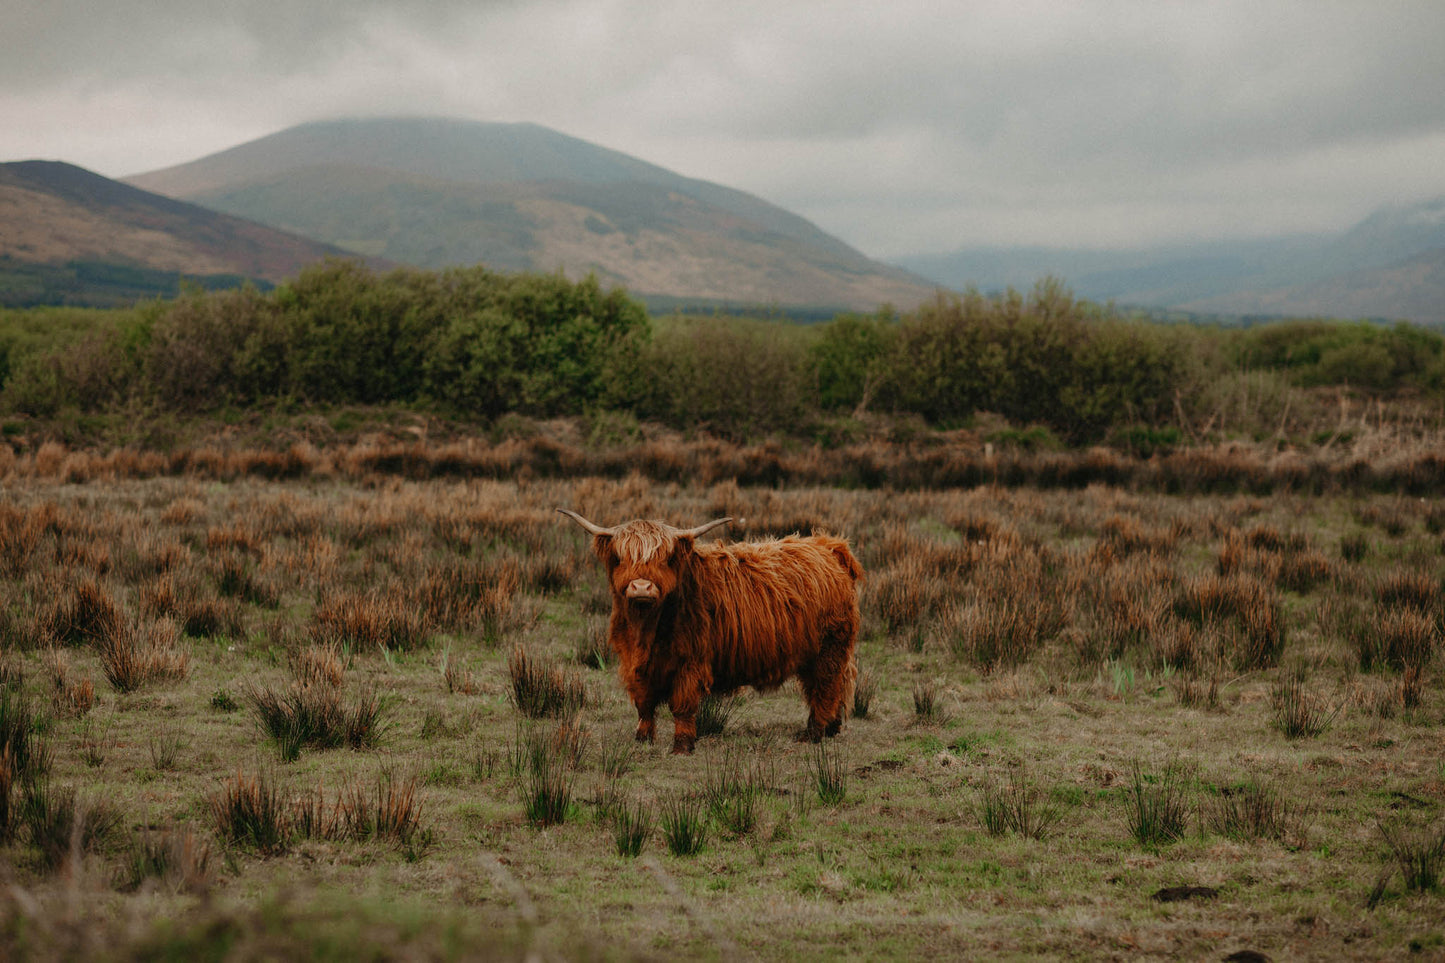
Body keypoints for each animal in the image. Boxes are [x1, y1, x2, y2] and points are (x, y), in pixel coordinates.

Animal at [560, 506, 855, 751]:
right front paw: (642, 738)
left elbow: (682, 705)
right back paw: (831, 727)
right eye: (621, 557)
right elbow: (643, 702)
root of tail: (829, 545)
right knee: (832, 686)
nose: (642, 587)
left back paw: (813, 733)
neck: (646, 629)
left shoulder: (690, 662)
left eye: (666, 558)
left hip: (829, 649)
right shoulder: (634, 663)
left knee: (826, 688)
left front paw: (682, 745)